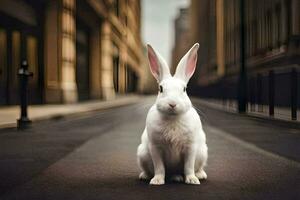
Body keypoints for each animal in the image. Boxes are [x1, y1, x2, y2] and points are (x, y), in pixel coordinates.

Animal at [137, 43, 207, 185]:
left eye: (184, 89)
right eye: (161, 89)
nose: (172, 103)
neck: (173, 118)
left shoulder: (190, 148)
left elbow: (189, 166)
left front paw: (192, 180)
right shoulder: (155, 148)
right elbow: (159, 167)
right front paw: (157, 181)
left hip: (203, 153)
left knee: (196, 168)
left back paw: (199, 175)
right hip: (142, 154)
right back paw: (145, 176)